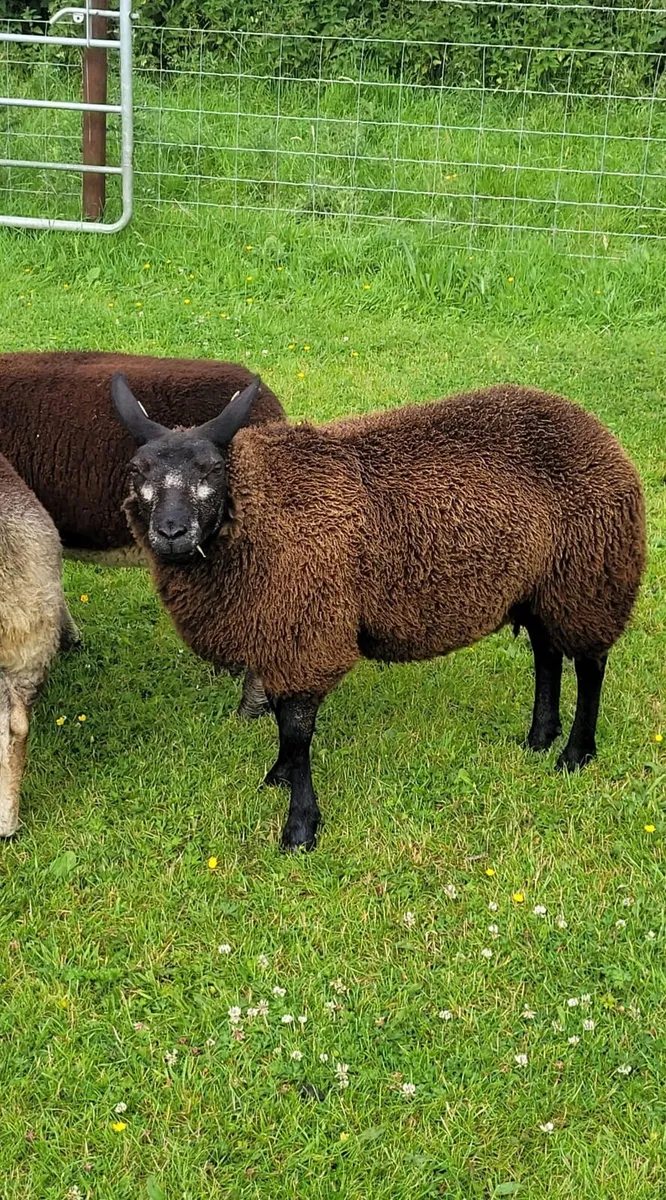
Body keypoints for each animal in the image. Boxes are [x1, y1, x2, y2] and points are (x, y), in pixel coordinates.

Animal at [111, 375, 646, 852]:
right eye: (137, 472)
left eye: (213, 470)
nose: (172, 532)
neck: (263, 510)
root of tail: (594, 428)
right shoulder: (281, 634)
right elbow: (285, 724)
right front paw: (278, 777)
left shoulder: (308, 632)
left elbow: (297, 731)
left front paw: (300, 827)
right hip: (543, 586)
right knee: (547, 652)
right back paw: (538, 737)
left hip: (590, 576)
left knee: (590, 664)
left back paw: (575, 753)